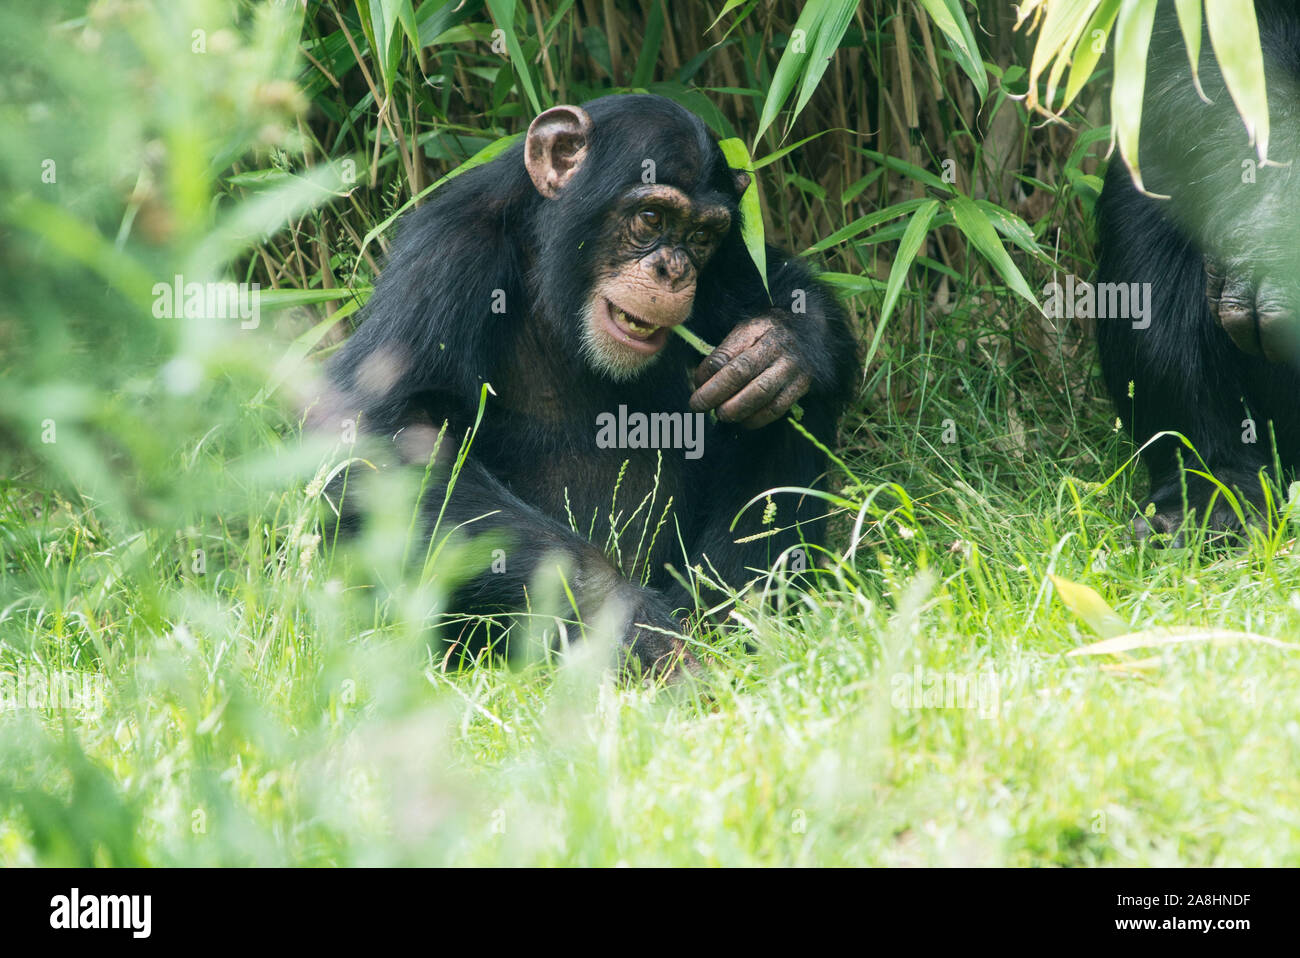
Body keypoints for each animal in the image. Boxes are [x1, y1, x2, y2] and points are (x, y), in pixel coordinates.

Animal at [321, 91, 857, 670]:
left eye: (701, 236)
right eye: (650, 217)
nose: (674, 270)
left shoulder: (733, 254)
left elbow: (781, 287)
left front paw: (780, 346)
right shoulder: (446, 254)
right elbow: (393, 433)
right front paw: (628, 625)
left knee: (791, 408)